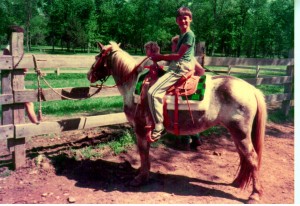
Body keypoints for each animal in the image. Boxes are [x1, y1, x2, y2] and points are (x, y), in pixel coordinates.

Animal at [86, 41, 268, 203]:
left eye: (97, 56)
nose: (89, 75)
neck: (133, 84)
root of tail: (251, 89)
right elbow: (146, 153)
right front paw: (144, 174)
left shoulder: (140, 128)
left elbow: (143, 152)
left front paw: (140, 178)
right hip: (236, 133)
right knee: (243, 156)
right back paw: (237, 182)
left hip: (240, 133)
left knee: (252, 157)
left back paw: (254, 194)